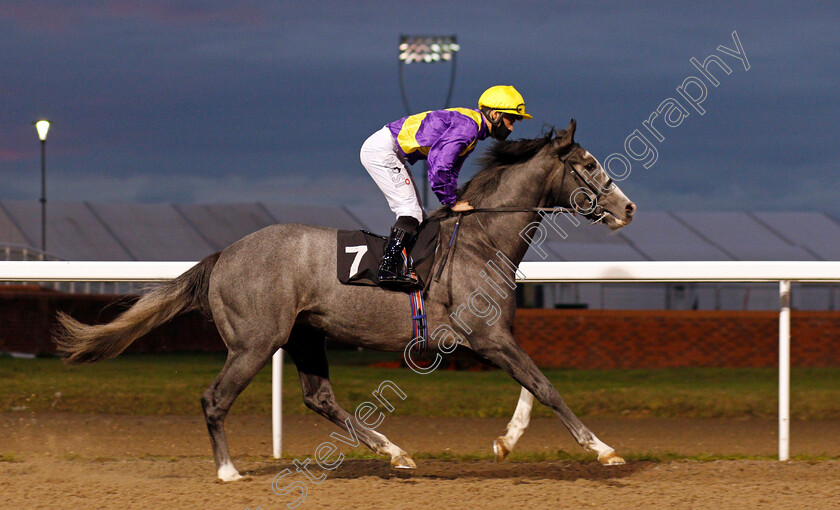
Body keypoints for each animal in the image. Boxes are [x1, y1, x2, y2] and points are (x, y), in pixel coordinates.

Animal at [57, 120, 636, 482]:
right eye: (588, 164)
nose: (627, 207)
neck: (481, 239)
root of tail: (224, 255)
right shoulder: (486, 337)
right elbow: (545, 385)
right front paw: (604, 450)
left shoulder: (491, 338)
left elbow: (532, 387)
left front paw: (507, 442)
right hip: (255, 342)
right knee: (214, 398)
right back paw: (227, 470)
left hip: (305, 336)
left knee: (319, 398)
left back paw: (395, 453)